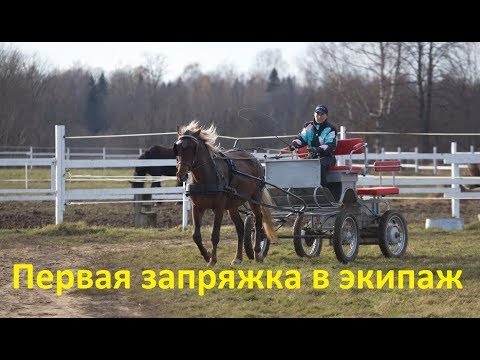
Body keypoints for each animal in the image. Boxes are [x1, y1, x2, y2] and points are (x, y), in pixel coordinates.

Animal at [173, 119, 278, 266]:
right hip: (232, 206)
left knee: (258, 221)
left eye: (193, 147)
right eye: (177, 147)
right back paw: (238, 258)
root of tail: (254, 159)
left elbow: (215, 234)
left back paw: (257, 253)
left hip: (254, 198)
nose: (181, 174)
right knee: (240, 228)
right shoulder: (197, 207)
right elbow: (196, 236)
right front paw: (207, 256)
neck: (205, 178)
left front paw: (212, 260)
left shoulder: (219, 207)